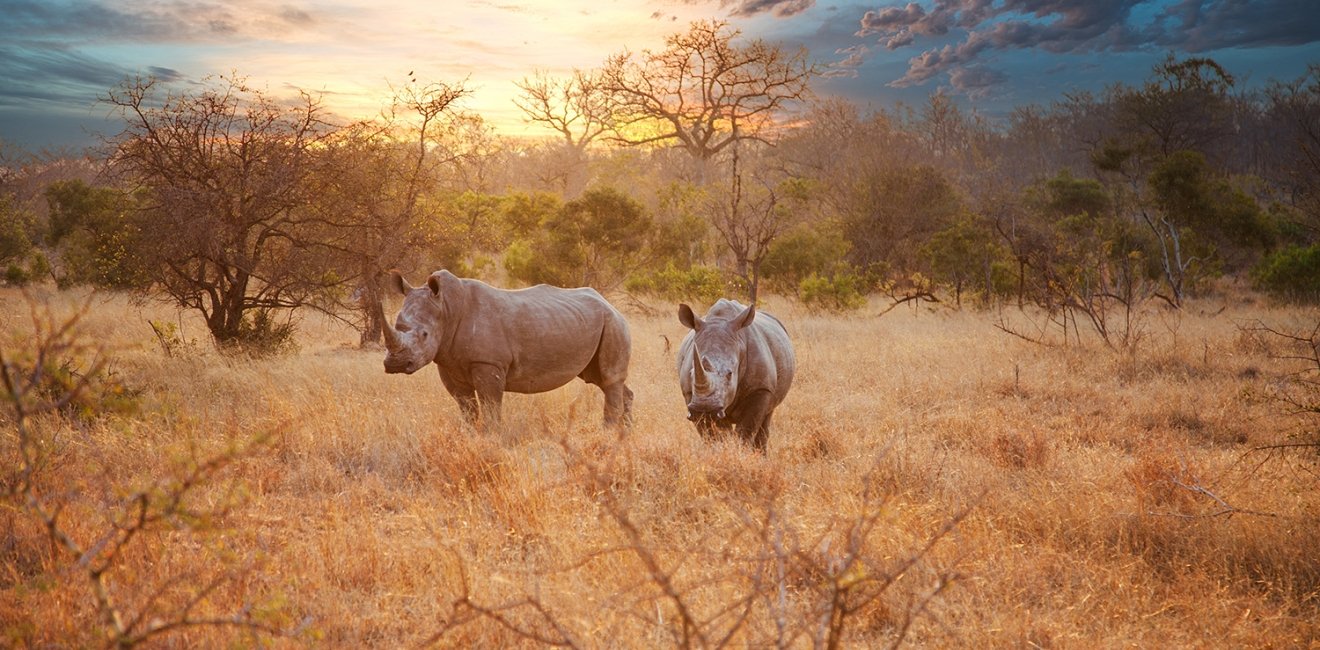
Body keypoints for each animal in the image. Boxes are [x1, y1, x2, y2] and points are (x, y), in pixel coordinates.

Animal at [380, 270, 634, 428]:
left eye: (424, 335)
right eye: (397, 326)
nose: (395, 364)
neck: (446, 308)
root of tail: (611, 304)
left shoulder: (488, 363)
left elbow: (491, 408)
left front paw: (491, 440)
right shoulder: (447, 362)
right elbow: (467, 409)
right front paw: (471, 437)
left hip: (613, 322)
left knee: (609, 379)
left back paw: (607, 434)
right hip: (590, 322)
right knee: (599, 378)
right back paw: (625, 433)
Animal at [677, 299, 795, 451]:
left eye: (730, 374)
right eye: (691, 373)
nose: (705, 409)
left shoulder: (760, 388)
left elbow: (746, 432)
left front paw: (741, 452)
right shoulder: (689, 394)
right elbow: (713, 435)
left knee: (767, 418)